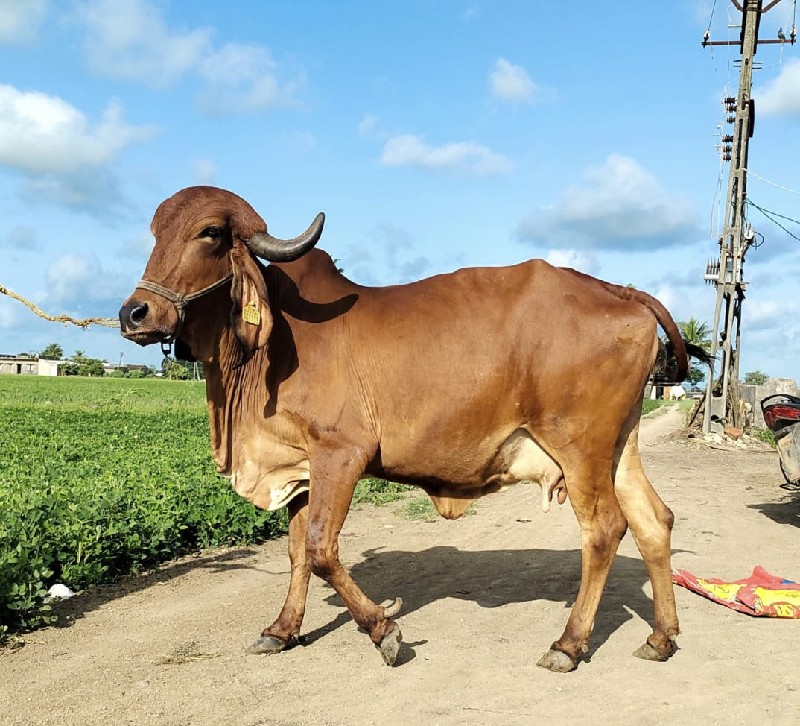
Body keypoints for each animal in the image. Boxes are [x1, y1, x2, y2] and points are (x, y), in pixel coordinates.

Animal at [119, 185, 708, 672]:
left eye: (209, 233)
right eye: (154, 232)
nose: (133, 314)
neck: (273, 342)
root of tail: (620, 291)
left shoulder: (341, 454)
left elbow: (320, 549)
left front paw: (385, 632)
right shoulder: (301, 466)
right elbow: (295, 551)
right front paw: (283, 630)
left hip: (578, 447)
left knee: (605, 529)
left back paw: (568, 643)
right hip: (618, 447)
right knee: (653, 521)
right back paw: (661, 637)